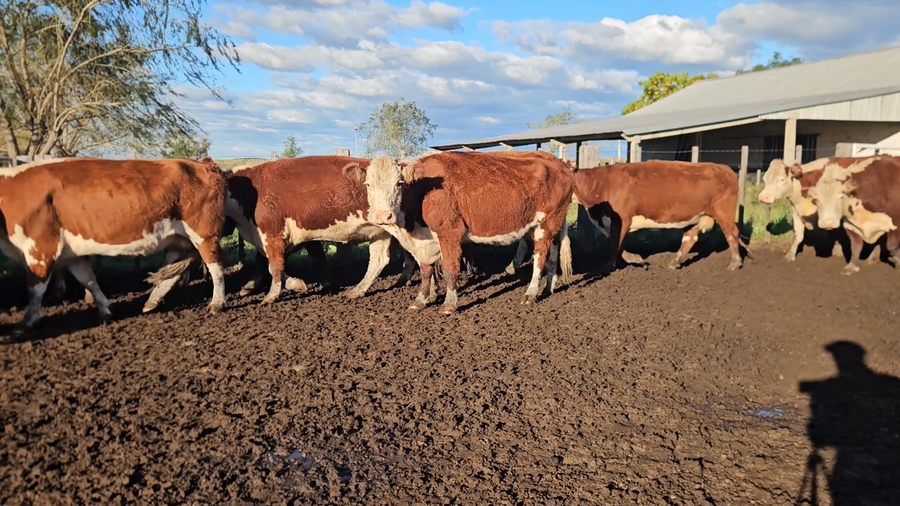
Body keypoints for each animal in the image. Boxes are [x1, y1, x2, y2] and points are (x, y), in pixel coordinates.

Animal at [0, 157, 227, 335]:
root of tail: (203, 164)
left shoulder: (39, 248)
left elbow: (35, 290)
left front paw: (27, 323)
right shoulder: (72, 254)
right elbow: (88, 280)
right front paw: (105, 310)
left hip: (204, 234)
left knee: (216, 267)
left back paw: (216, 303)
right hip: (179, 239)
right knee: (173, 271)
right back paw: (152, 301)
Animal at [222, 156, 416, 304]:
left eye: (399, 184)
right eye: (368, 184)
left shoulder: (273, 235)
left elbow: (274, 266)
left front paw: (271, 295)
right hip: (381, 231)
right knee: (379, 260)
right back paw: (359, 290)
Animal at [352, 152, 574, 314]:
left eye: (399, 184)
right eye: (368, 184)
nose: (383, 215)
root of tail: (560, 163)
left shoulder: (449, 233)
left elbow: (450, 269)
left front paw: (449, 305)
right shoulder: (424, 242)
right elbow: (425, 270)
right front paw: (420, 300)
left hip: (546, 224)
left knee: (540, 257)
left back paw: (531, 293)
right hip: (550, 225)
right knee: (553, 256)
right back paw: (548, 287)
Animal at [573, 161, 746, 271]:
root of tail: (725, 168)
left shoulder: (621, 219)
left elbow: (614, 246)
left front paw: (608, 267)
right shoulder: (611, 223)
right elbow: (619, 246)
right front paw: (635, 258)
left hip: (723, 211)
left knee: (732, 233)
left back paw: (735, 263)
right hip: (695, 216)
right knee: (690, 238)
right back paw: (674, 263)